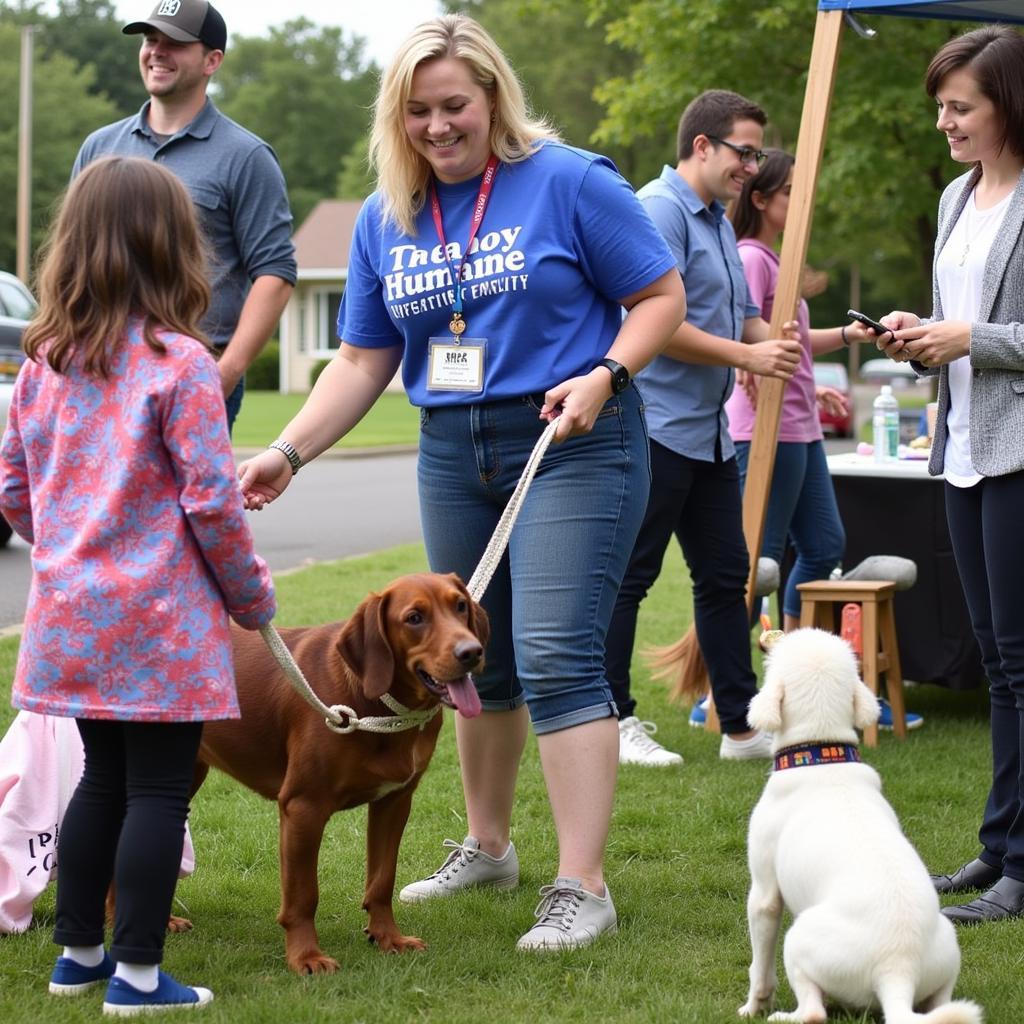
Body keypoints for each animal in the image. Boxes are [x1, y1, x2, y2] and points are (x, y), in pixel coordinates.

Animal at [196, 577, 491, 974]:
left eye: (460, 605)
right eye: (414, 618)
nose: (472, 652)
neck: (378, 705)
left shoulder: (394, 801)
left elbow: (382, 880)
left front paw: (388, 938)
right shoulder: (303, 808)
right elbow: (303, 895)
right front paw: (305, 955)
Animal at [741, 626, 978, 1019]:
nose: (773, 634)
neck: (822, 754)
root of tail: (898, 969)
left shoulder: (763, 892)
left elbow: (759, 964)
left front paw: (753, 1006)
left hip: (798, 939)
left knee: (814, 1012)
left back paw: (783, 1016)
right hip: (947, 948)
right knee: (943, 1005)